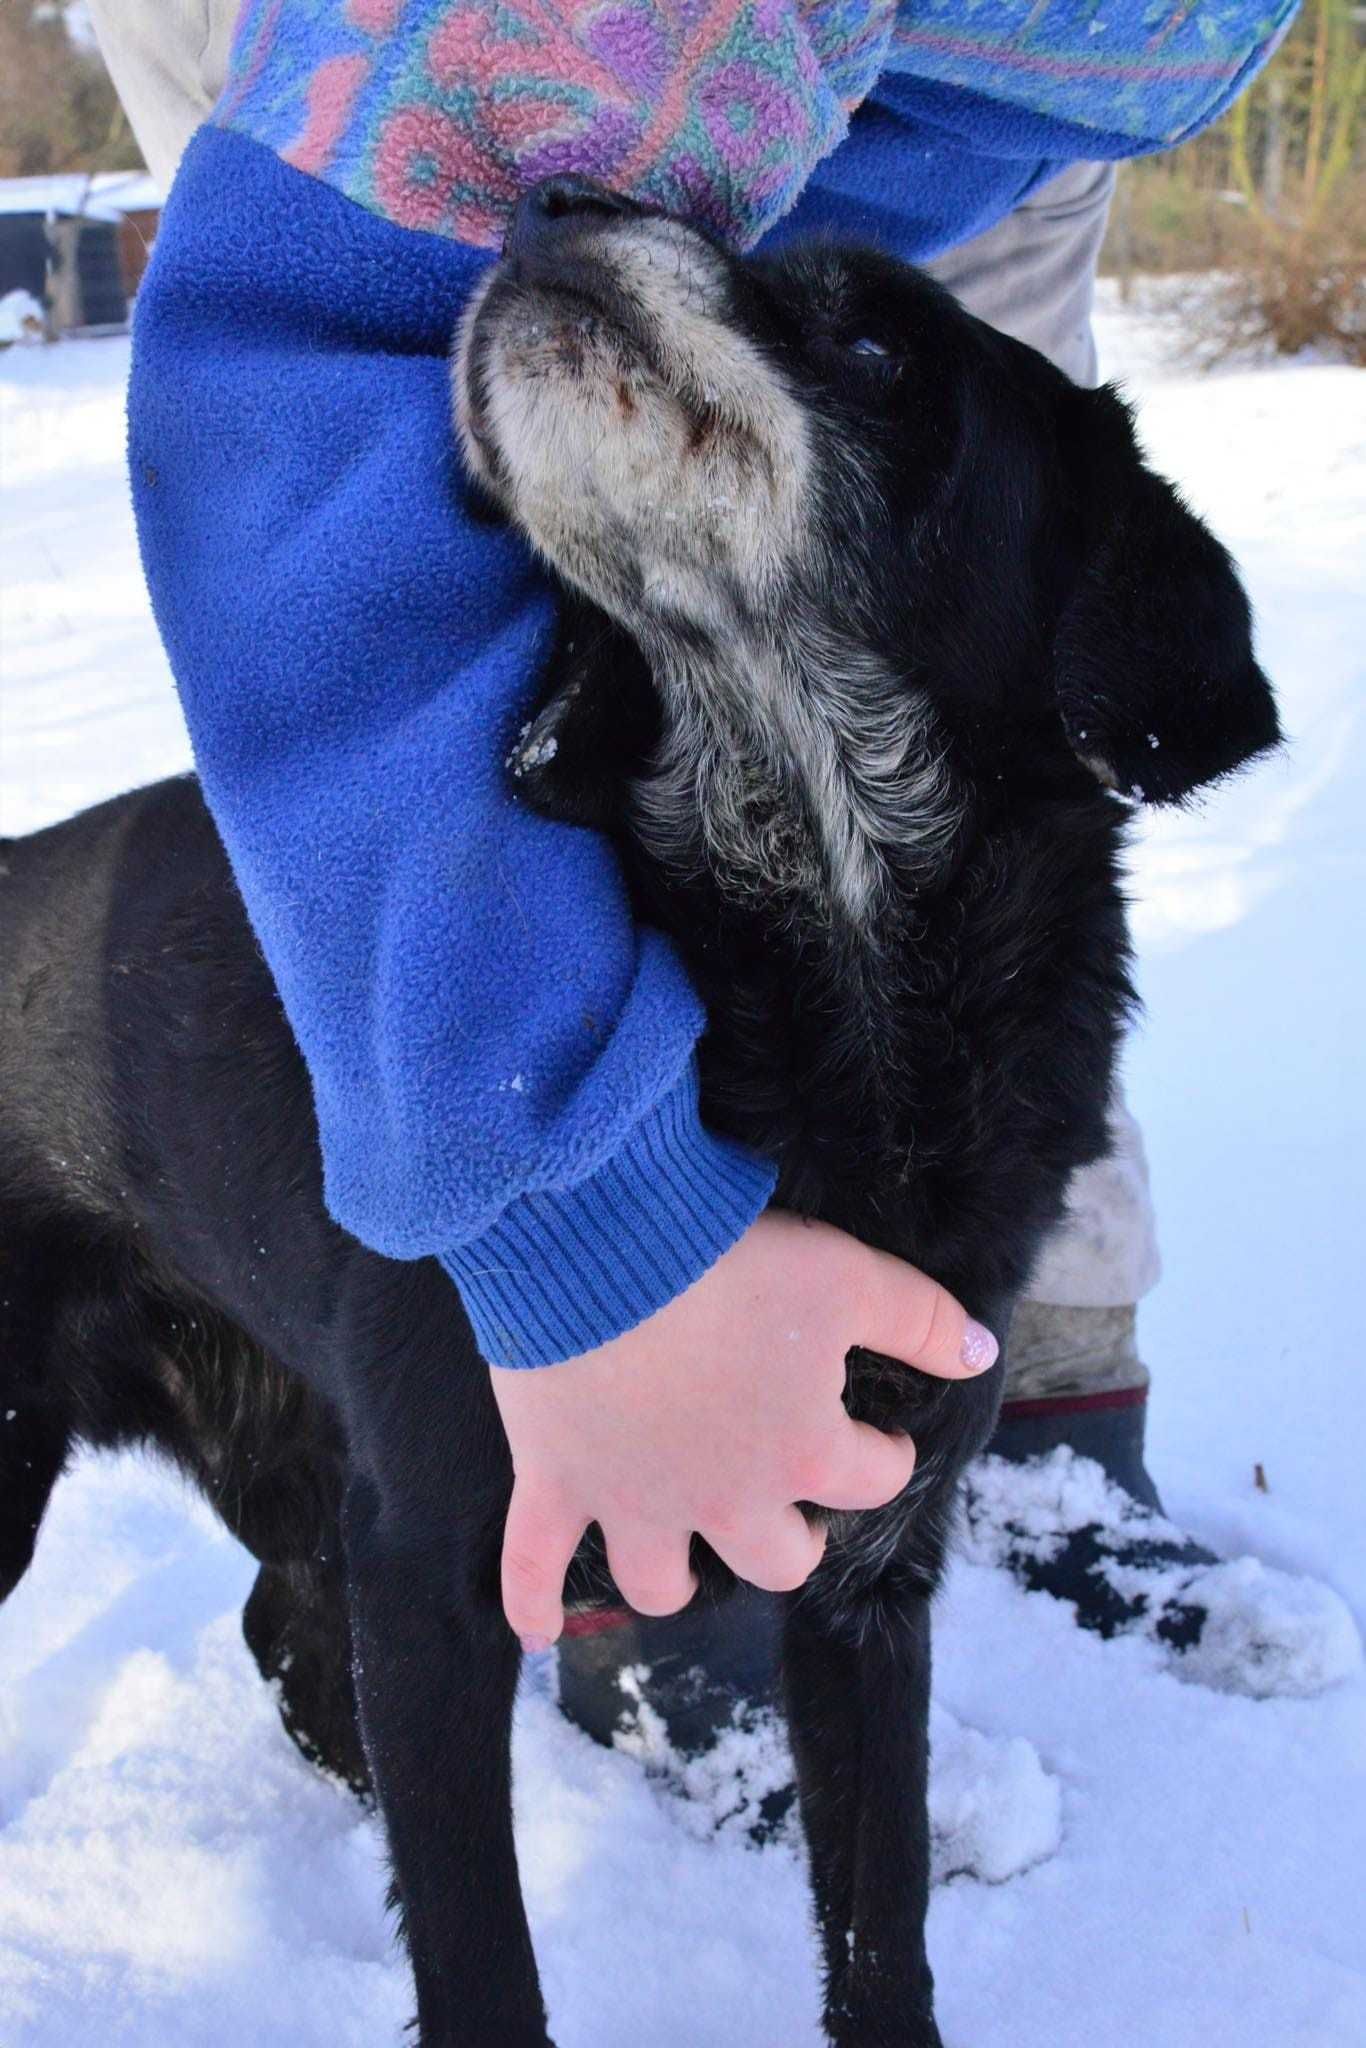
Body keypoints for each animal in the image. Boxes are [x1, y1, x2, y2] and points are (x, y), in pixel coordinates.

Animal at [0, 184, 1286, 2039]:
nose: (558, 196)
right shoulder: (438, 1567)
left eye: (875, 337)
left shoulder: (865, 1584)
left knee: (285, 1643)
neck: (822, 972)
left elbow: (879, 1924)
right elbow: (483, 1960)